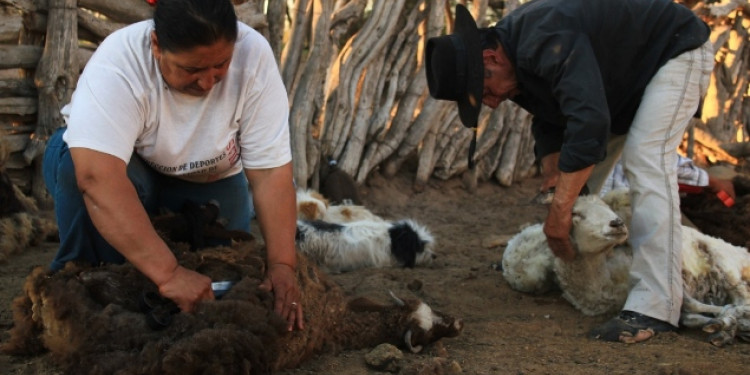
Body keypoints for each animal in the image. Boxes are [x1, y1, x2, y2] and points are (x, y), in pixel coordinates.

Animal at [502, 192, 750, 348]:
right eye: (576, 214)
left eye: (608, 209)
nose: (617, 223)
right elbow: (690, 315)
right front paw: (724, 325)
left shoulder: (674, 284)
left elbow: (699, 306)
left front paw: (726, 324)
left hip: (724, 265)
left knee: (741, 297)